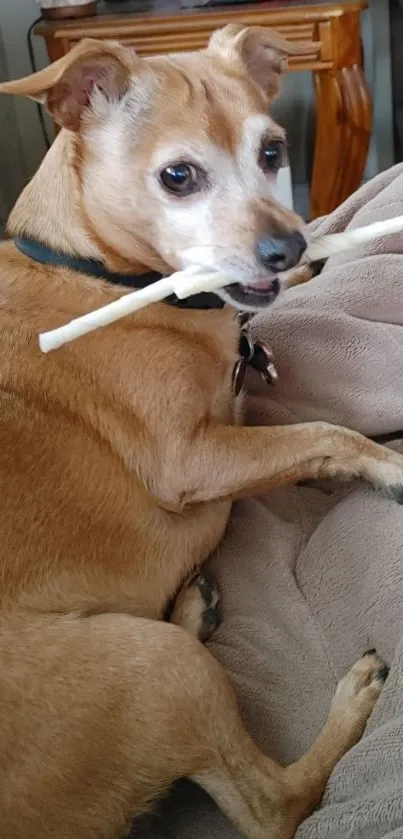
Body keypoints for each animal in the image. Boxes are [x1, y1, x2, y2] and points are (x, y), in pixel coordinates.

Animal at [0, 26, 402, 839]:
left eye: (274, 151)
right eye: (178, 176)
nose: (287, 249)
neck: (97, 271)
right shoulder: (193, 457)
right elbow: (326, 432)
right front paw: (389, 463)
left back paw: (194, 605)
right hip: (155, 668)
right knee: (274, 807)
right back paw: (350, 703)